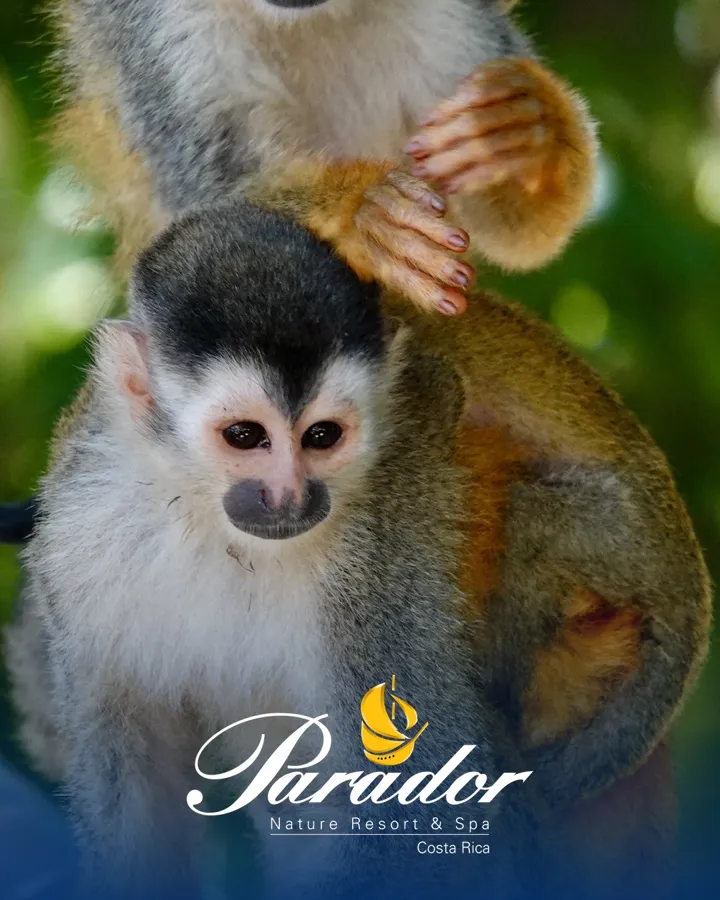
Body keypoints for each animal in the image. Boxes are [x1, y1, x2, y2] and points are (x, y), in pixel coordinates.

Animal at [5, 162, 710, 897]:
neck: (207, 519)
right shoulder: (78, 535)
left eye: (322, 437)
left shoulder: (380, 556)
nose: (290, 497)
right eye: (244, 436)